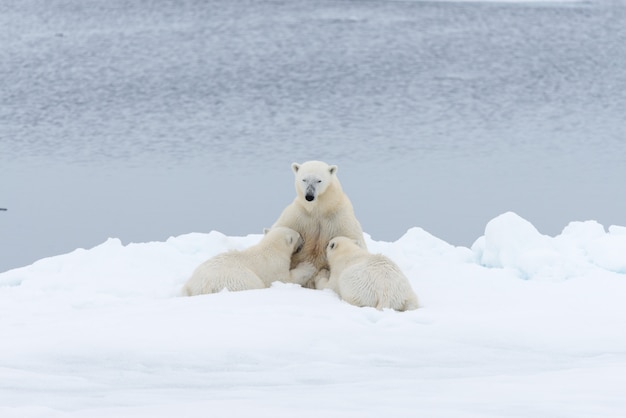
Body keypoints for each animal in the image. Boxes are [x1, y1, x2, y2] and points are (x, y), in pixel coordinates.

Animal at [183, 227, 314, 296]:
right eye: (298, 236)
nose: (303, 239)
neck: (271, 248)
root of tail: (200, 286)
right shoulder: (274, 265)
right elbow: (286, 279)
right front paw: (308, 266)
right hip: (236, 279)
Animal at [270, 158, 366, 286]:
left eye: (319, 180)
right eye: (304, 179)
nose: (309, 196)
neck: (319, 210)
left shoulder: (340, 217)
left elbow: (353, 238)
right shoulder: (298, 214)